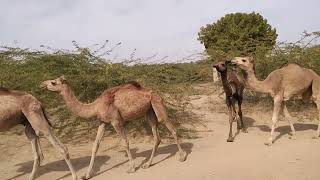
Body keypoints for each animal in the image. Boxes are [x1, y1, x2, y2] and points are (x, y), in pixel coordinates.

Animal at [42, 76, 188, 180]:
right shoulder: (103, 122)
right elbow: (95, 145)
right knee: (156, 135)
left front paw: (131, 168)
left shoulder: (115, 121)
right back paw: (147, 164)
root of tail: (157, 93)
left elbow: (125, 142)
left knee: (169, 126)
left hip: (157, 103)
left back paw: (182, 157)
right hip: (149, 111)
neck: (95, 106)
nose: (43, 83)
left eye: (53, 82)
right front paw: (87, 175)